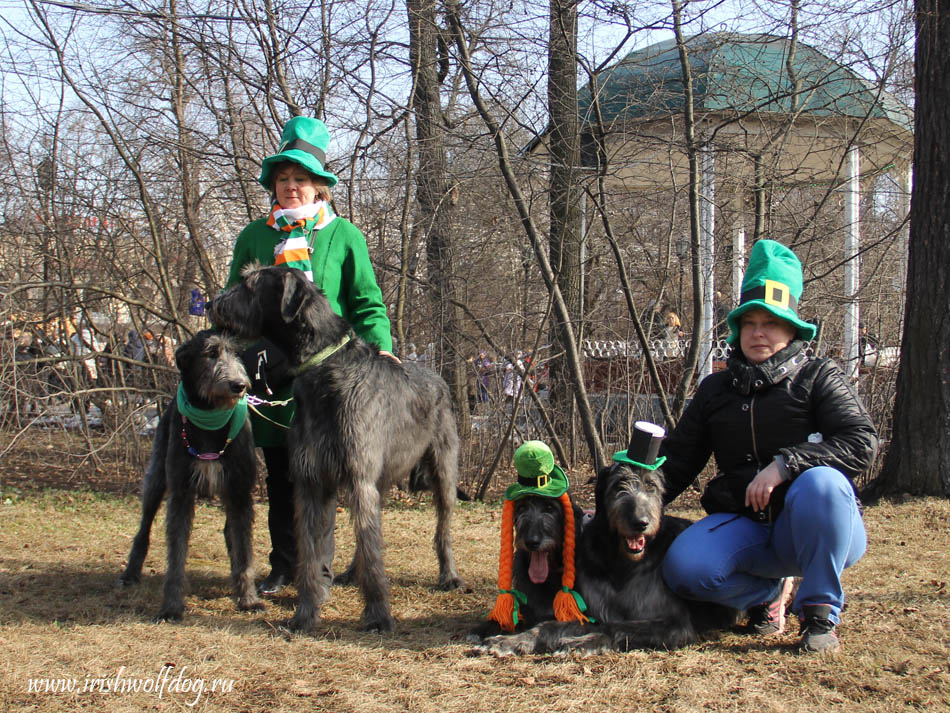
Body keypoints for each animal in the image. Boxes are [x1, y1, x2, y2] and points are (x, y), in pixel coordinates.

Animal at [122, 330, 266, 620]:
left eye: (237, 353)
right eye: (210, 353)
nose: (238, 385)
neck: (212, 416)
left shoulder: (240, 492)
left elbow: (244, 550)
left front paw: (248, 598)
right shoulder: (181, 493)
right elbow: (176, 552)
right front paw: (172, 606)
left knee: (230, 533)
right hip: (157, 477)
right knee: (144, 526)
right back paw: (131, 571)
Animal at [210, 264, 462, 632]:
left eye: (251, 283)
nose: (211, 304)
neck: (325, 370)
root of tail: (439, 378)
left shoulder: (359, 477)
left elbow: (372, 551)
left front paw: (378, 616)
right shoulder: (310, 481)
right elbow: (311, 551)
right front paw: (305, 614)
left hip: (442, 470)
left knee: (442, 526)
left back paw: (449, 576)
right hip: (381, 479)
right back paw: (352, 573)